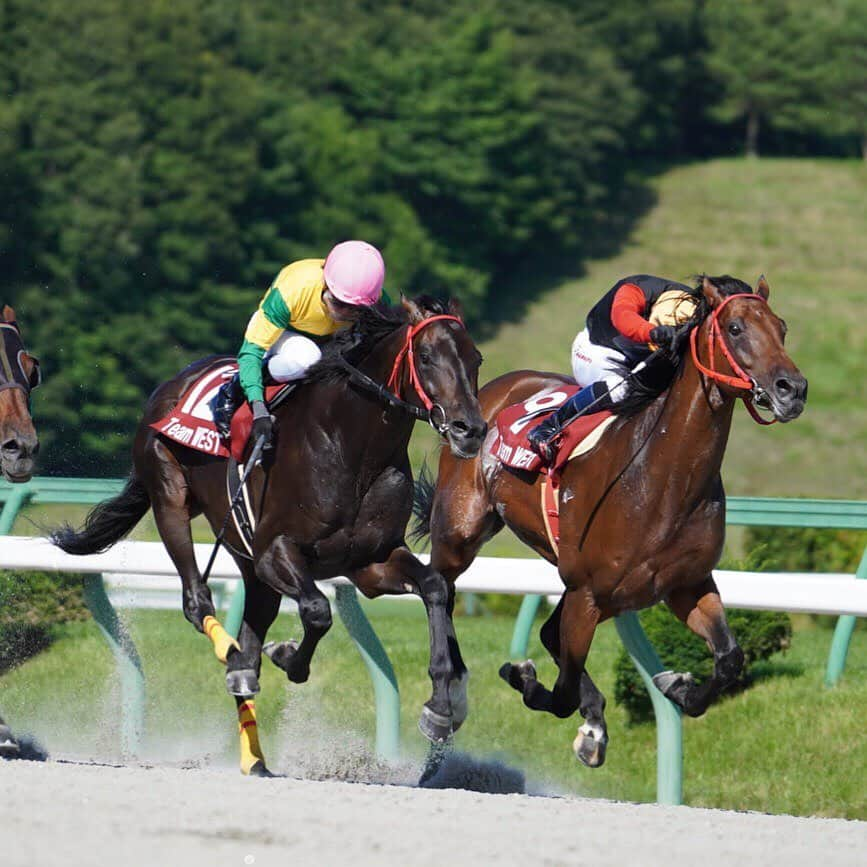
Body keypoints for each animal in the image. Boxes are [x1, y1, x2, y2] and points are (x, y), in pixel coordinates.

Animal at [52, 296, 488, 772]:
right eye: (425, 357)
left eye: (476, 359)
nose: (470, 429)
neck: (351, 448)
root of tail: (172, 382)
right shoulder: (276, 551)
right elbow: (317, 611)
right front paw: (286, 655)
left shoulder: (371, 562)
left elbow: (434, 587)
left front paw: (442, 709)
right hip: (170, 496)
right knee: (196, 600)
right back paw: (230, 656)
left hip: (248, 560)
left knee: (251, 628)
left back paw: (252, 738)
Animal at [414, 276, 808, 768]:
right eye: (735, 328)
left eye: (782, 328)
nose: (792, 389)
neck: (664, 481)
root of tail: (489, 393)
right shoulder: (587, 592)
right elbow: (561, 692)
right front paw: (524, 678)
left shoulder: (685, 585)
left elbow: (729, 659)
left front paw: (676, 686)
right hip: (461, 531)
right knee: (440, 589)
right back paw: (445, 704)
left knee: (545, 630)